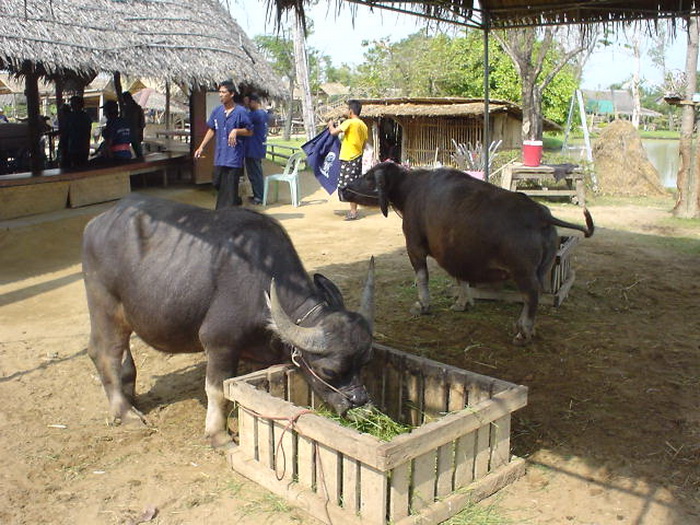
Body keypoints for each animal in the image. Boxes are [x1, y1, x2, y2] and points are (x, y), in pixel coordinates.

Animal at [82, 194, 374, 444]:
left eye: (364, 363)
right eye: (329, 371)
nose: (358, 402)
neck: (261, 285)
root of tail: (96, 224)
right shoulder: (220, 343)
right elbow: (218, 390)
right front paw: (218, 435)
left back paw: (130, 397)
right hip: (104, 306)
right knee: (103, 353)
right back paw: (125, 413)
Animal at [342, 162, 592, 346]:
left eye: (368, 177)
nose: (343, 190)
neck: (410, 189)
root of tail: (540, 215)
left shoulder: (414, 246)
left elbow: (422, 278)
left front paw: (423, 306)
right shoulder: (456, 253)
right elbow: (460, 277)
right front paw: (462, 303)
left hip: (523, 273)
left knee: (531, 297)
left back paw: (523, 333)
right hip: (540, 270)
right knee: (532, 296)